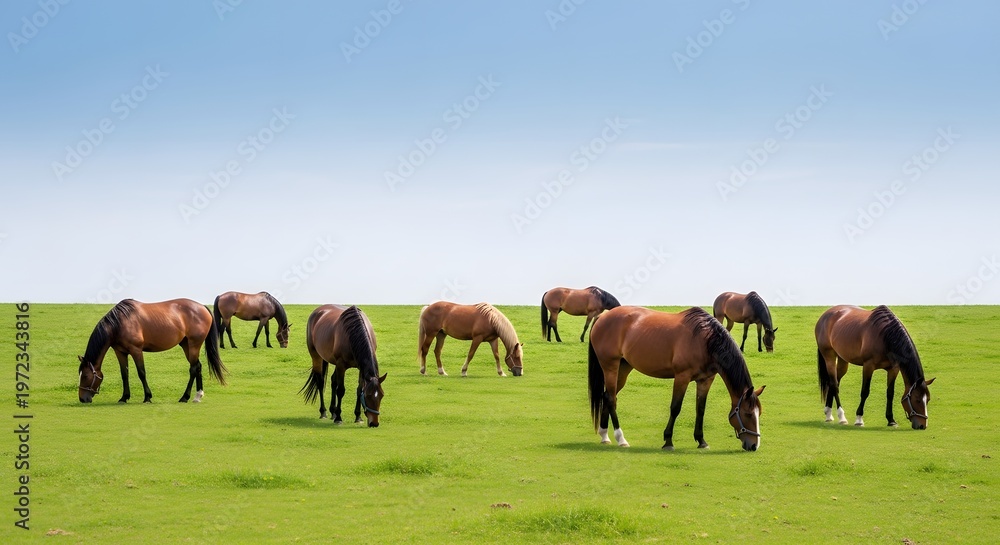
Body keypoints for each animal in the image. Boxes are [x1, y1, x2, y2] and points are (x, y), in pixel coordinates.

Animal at [77, 299, 228, 404]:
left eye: (85, 376)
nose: (82, 399)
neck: (119, 322)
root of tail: (202, 307)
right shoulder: (120, 352)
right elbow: (124, 374)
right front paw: (124, 397)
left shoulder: (136, 350)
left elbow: (141, 373)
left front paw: (147, 397)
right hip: (186, 345)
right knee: (198, 366)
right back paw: (197, 396)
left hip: (194, 344)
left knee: (193, 368)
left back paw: (185, 397)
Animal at [588, 306, 765, 451]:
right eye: (748, 414)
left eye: (759, 413)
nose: (754, 446)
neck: (705, 340)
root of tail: (603, 316)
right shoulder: (682, 377)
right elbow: (675, 407)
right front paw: (668, 441)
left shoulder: (705, 380)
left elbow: (700, 409)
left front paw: (701, 441)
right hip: (610, 366)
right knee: (611, 399)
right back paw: (621, 439)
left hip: (623, 368)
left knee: (607, 396)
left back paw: (605, 436)